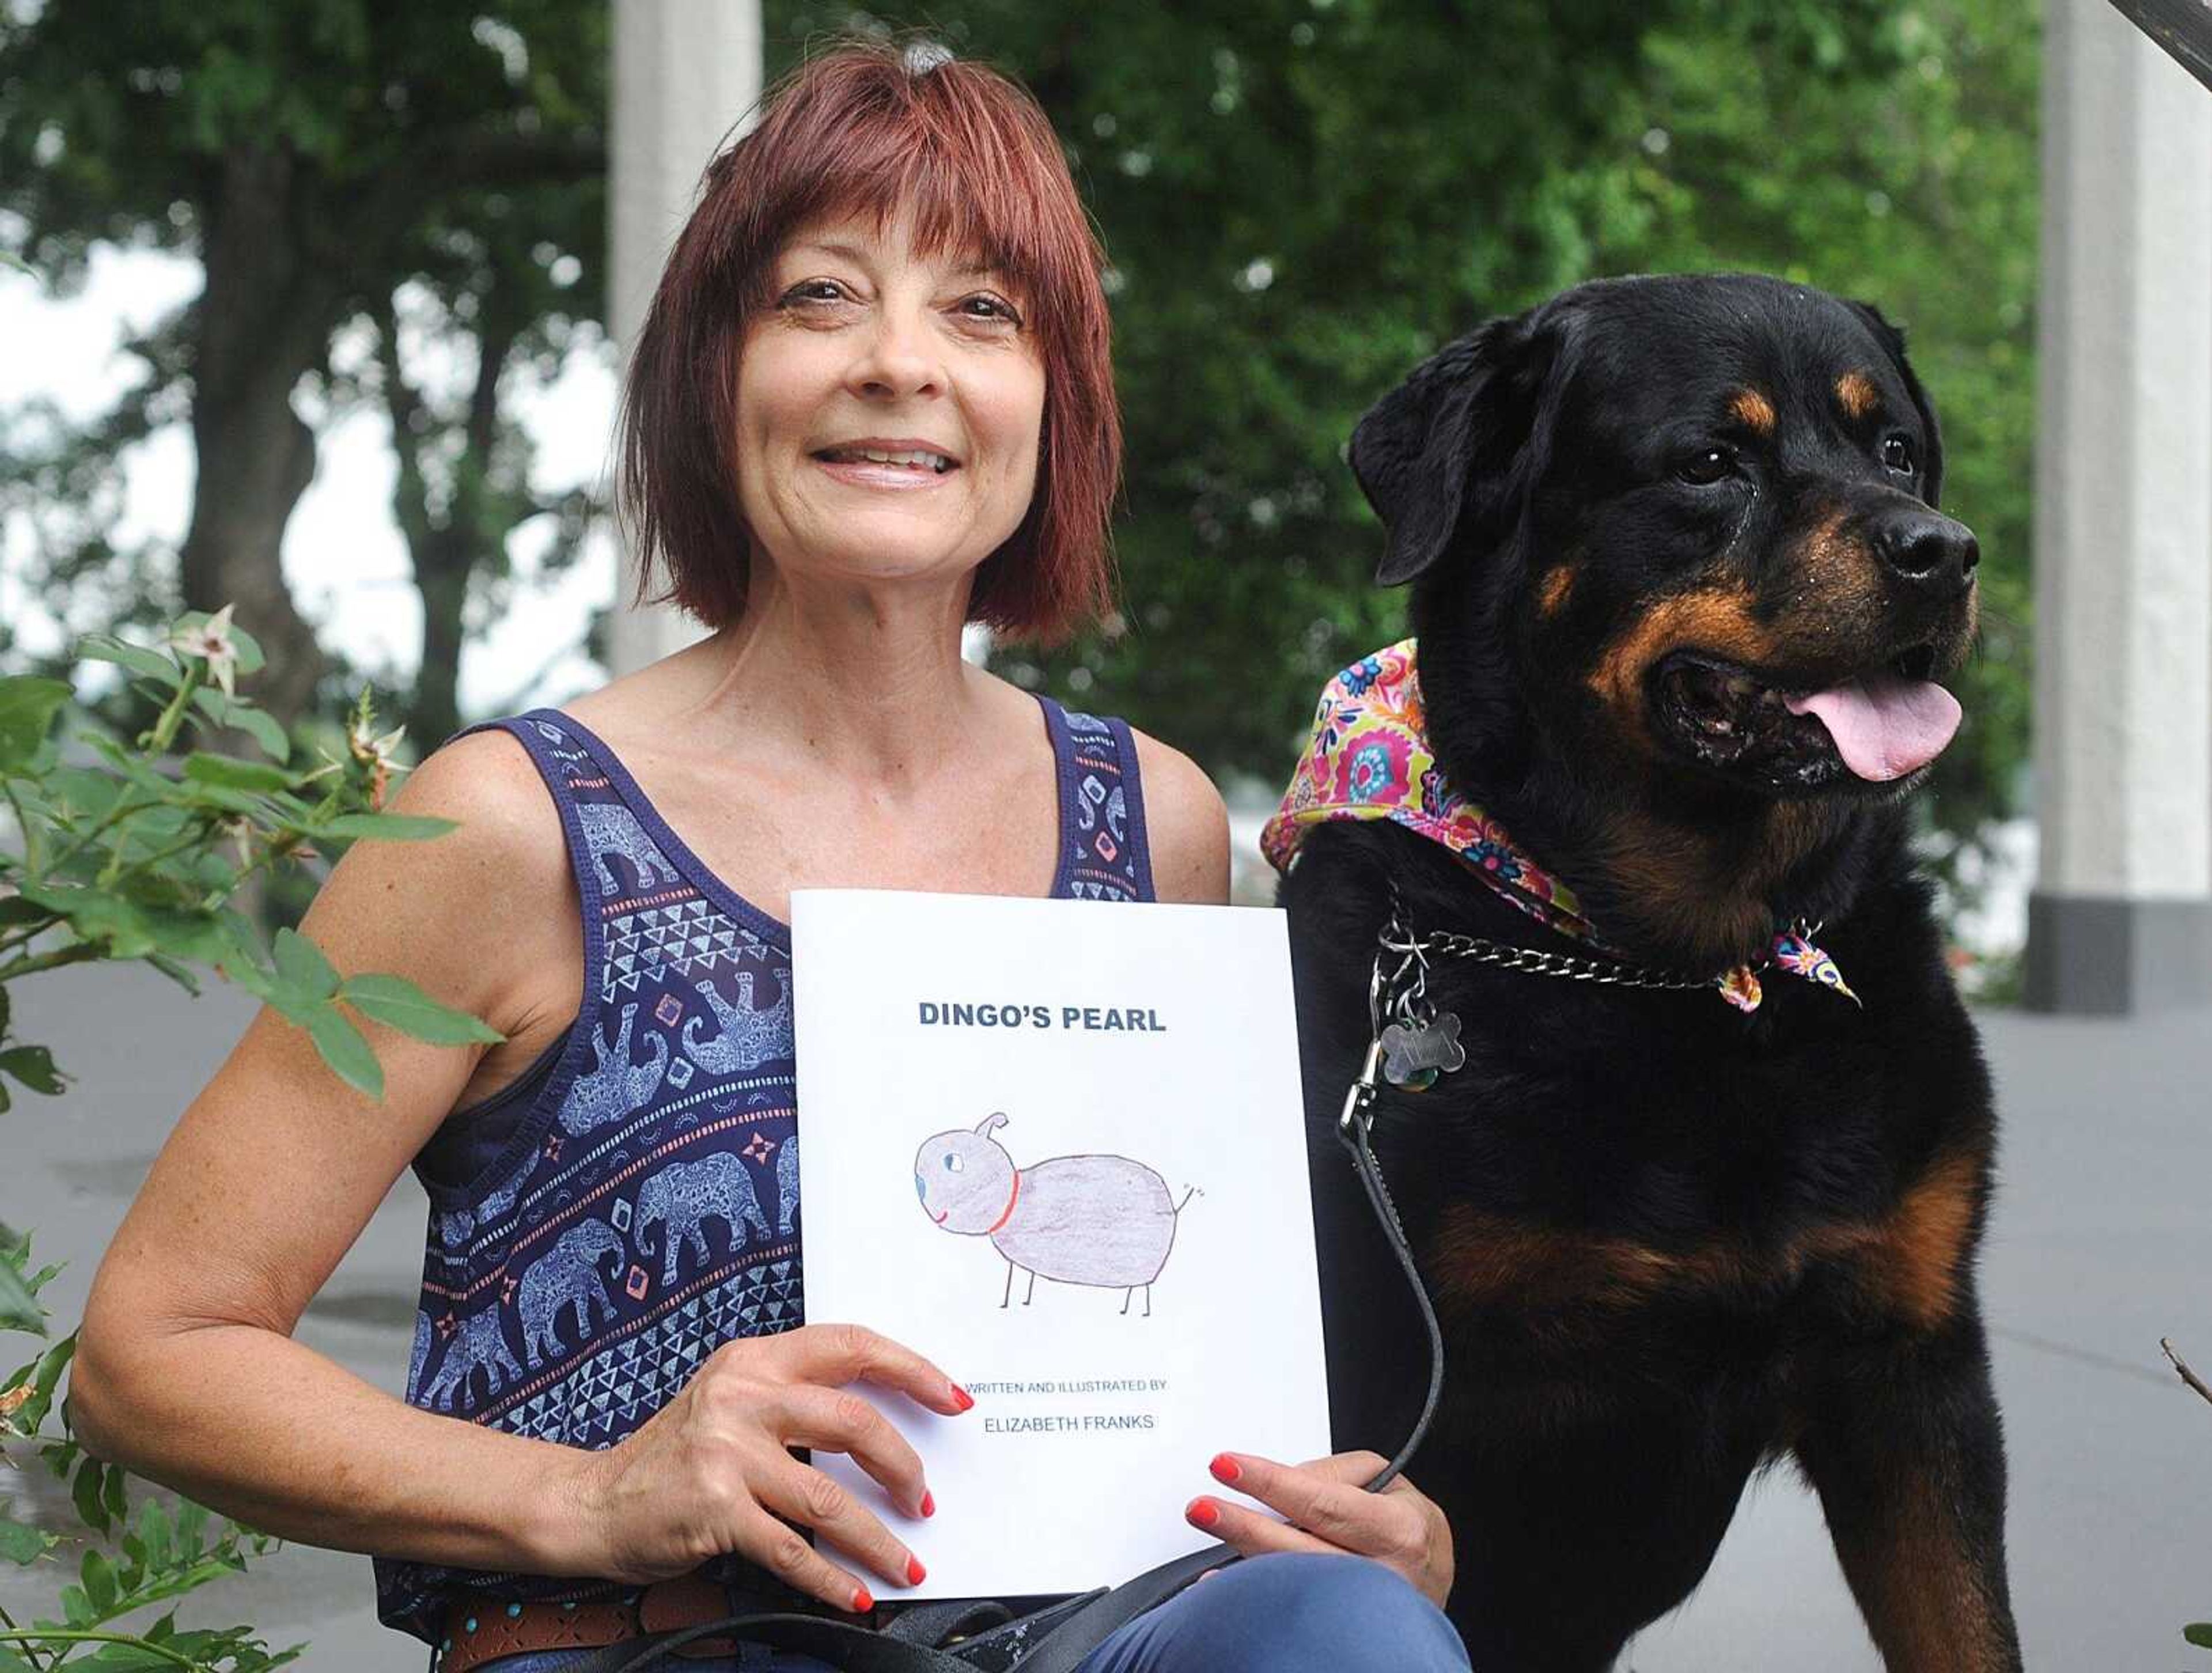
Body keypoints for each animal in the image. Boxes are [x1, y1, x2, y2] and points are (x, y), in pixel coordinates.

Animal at [1283, 278, 2026, 1673]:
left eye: (1897, 450)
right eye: (1708, 464)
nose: (1943, 550)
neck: (1690, 968)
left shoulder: (1911, 1364)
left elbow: (1967, 1628)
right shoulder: (1406, 1386)